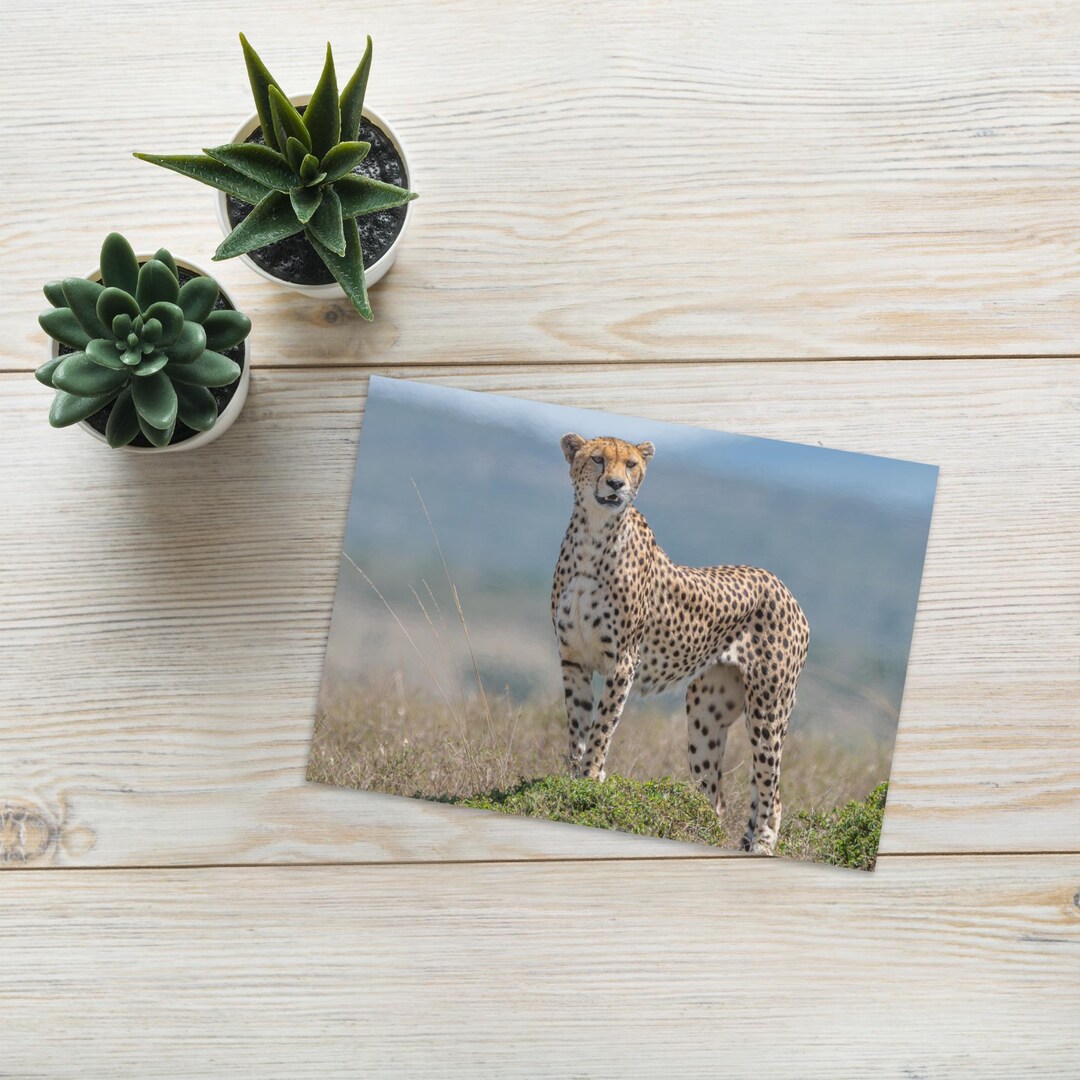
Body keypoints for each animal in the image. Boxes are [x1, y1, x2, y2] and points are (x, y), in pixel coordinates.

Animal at [551, 433, 810, 855]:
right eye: (598, 459)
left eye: (631, 465)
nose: (616, 485)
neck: (595, 535)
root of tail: (782, 585)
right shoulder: (573, 658)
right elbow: (578, 724)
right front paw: (571, 778)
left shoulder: (623, 662)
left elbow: (602, 726)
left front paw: (590, 779)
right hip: (706, 710)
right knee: (716, 798)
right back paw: (706, 833)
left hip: (769, 708)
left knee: (772, 793)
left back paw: (761, 845)